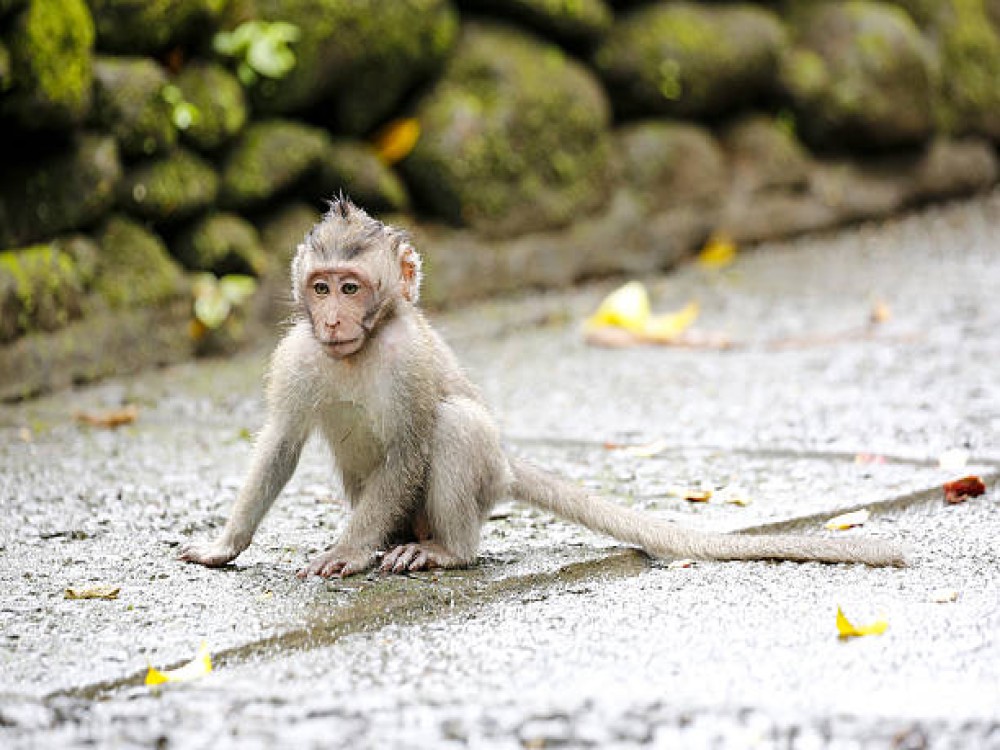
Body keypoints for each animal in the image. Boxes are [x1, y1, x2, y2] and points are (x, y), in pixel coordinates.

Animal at [179, 197, 905, 577]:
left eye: (352, 288)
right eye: (321, 286)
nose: (332, 319)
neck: (361, 348)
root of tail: (505, 466)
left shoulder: (409, 360)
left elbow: (413, 445)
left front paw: (347, 553)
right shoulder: (296, 358)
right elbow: (280, 443)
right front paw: (225, 544)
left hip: (479, 480)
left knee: (457, 426)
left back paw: (447, 552)